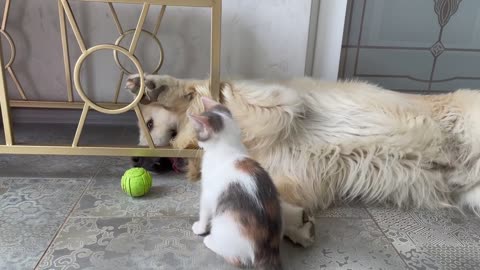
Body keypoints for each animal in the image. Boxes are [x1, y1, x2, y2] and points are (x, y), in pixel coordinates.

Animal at [126, 74, 480, 247]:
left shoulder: (279, 100)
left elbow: (213, 92)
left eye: (149, 124)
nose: (137, 160)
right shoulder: (293, 173)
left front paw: (155, 87)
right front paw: (299, 224)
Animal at [188, 96, 284, 268]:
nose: (197, 143)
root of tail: (265, 251)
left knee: (237, 260)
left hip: (223, 224)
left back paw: (210, 241)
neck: (228, 147)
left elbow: (204, 211)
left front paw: (200, 227)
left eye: (198, 133)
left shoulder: (208, 193)